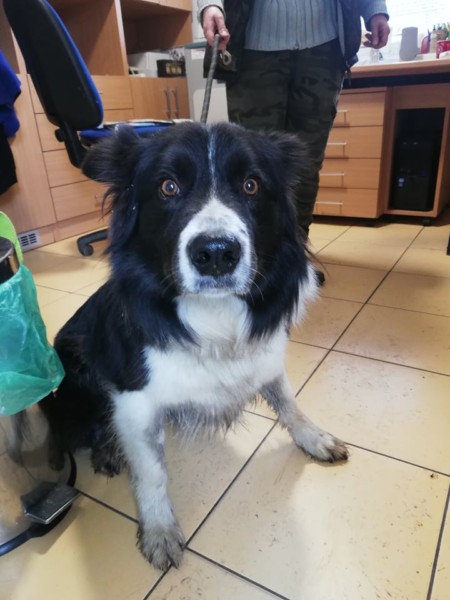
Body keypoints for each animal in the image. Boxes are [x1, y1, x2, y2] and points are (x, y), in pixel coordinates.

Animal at [41, 122, 348, 571]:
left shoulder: (266, 359)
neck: (214, 315)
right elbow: (152, 473)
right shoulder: (135, 399)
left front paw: (314, 438)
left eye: (252, 185)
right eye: (168, 187)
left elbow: (289, 403)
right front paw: (159, 531)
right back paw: (109, 450)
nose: (216, 254)